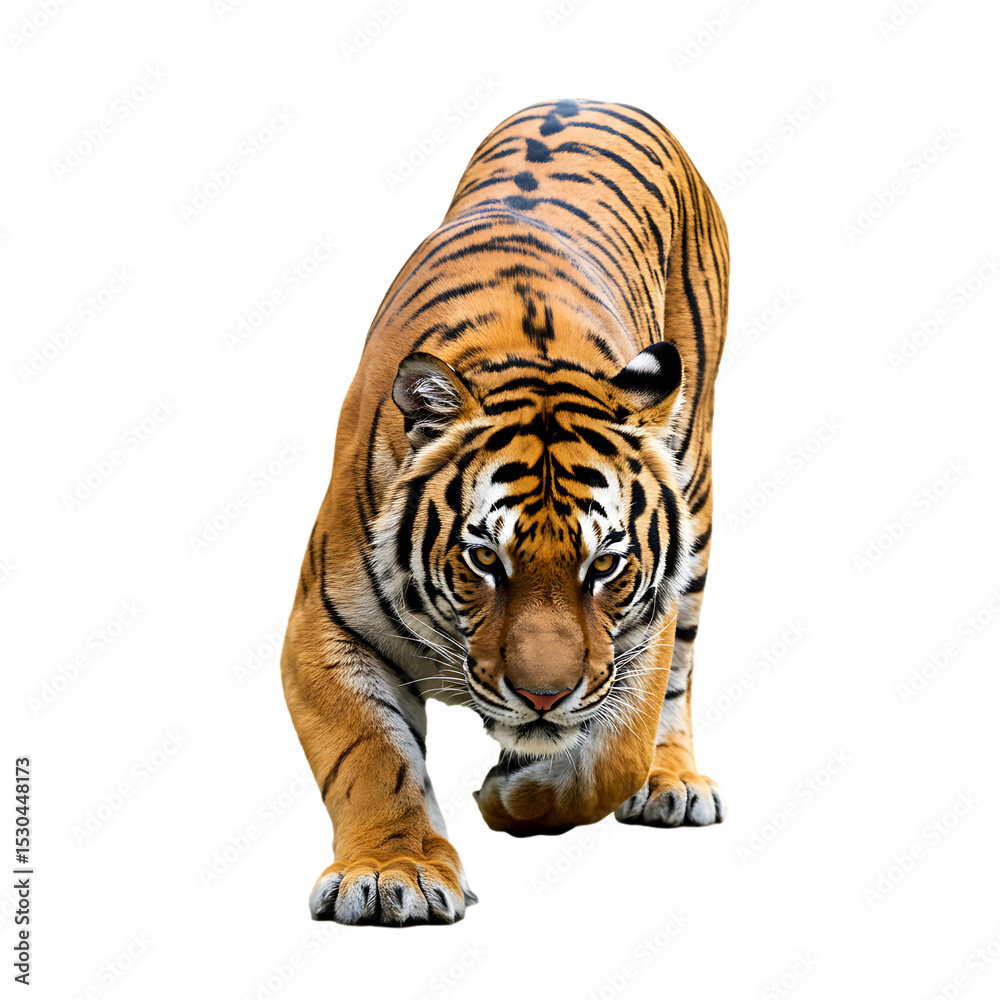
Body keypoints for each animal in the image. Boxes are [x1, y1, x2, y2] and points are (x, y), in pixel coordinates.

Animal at [280, 98, 730, 926]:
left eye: (605, 566)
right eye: (485, 559)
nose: (544, 696)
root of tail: (594, 96)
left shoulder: (641, 627)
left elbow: (613, 753)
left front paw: (513, 798)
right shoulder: (322, 625)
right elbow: (371, 755)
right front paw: (393, 874)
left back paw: (672, 781)